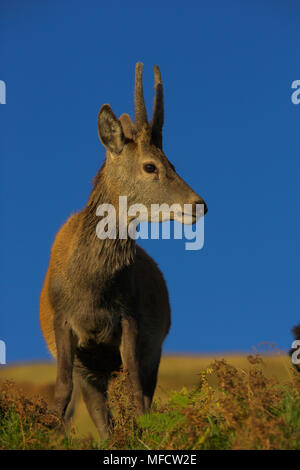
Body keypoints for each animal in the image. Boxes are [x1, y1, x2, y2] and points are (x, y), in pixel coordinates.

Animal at [39, 62, 209, 436]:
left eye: (173, 163)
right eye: (150, 166)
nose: (199, 204)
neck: (90, 289)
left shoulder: (131, 319)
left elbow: (135, 393)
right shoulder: (63, 324)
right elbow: (62, 395)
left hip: (151, 350)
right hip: (91, 368)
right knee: (98, 411)